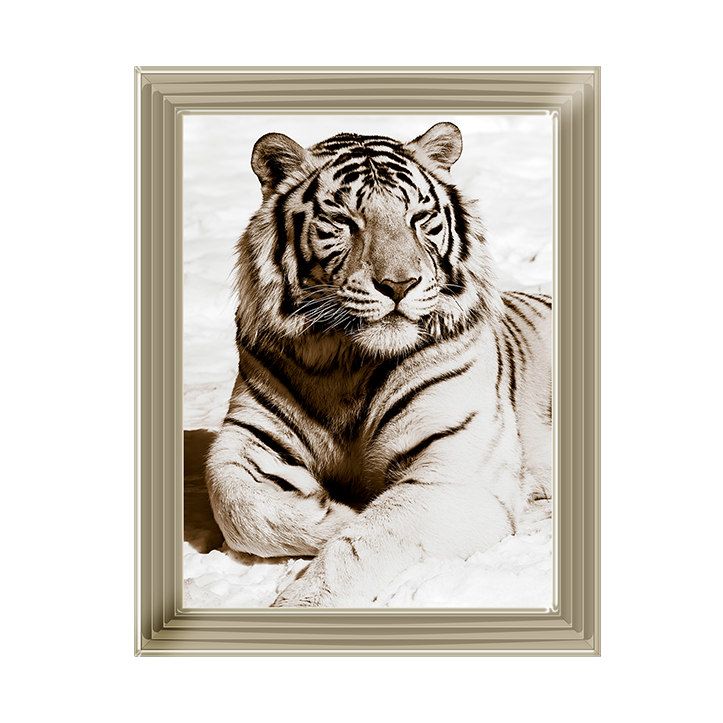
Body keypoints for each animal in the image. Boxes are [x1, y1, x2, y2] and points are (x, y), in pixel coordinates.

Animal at [205, 122, 552, 607]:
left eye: (418, 219)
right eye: (344, 222)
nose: (399, 285)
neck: (345, 362)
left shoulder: (456, 474)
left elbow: (367, 540)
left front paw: (304, 599)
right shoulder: (248, 437)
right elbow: (235, 506)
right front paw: (336, 510)